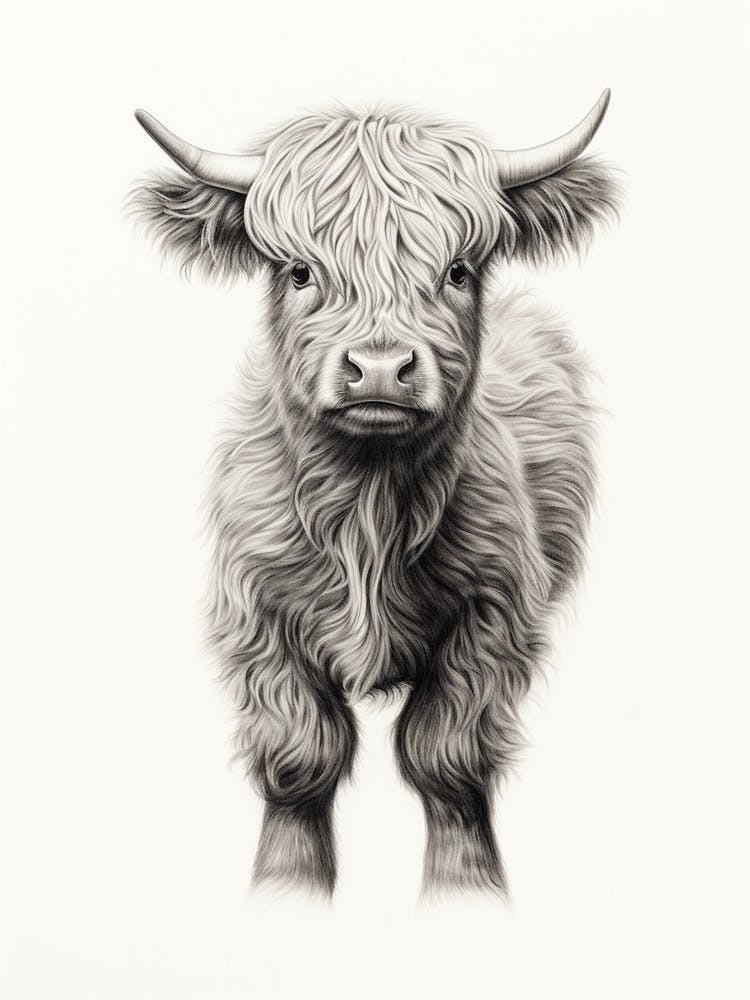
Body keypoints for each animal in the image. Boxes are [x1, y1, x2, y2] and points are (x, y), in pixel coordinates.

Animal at [131, 92, 619, 897]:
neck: (369, 508)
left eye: (458, 270)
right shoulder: (258, 618)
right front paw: (286, 889)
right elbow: (301, 760)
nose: (382, 369)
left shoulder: (494, 616)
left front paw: (467, 889)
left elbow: (446, 760)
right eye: (299, 271)